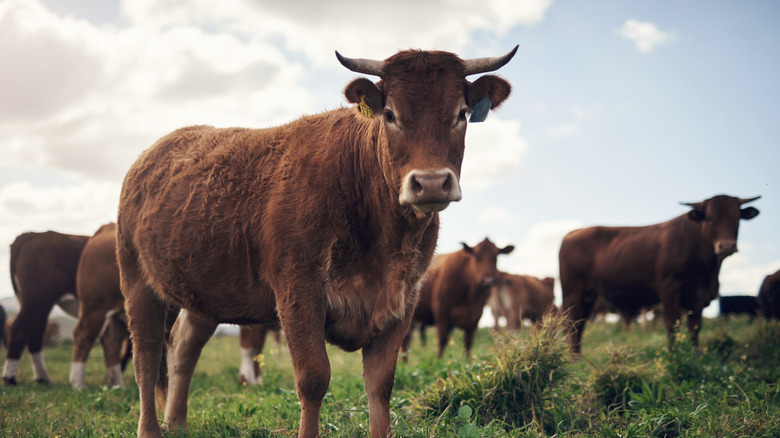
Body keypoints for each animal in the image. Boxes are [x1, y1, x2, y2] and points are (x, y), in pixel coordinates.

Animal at [3, 231, 89, 385]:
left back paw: (42, 378)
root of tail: (34, 234)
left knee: (34, 332)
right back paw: (10, 378)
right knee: (20, 329)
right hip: (37, 300)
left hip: (39, 306)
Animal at [116, 47, 517, 438]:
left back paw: (177, 422)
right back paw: (150, 429)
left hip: (205, 293)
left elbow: (380, 383)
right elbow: (313, 378)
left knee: (184, 347)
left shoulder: (403, 298)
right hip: (137, 282)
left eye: (461, 114)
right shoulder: (298, 291)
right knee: (146, 355)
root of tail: (151, 154)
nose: (431, 182)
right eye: (390, 114)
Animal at [559, 194, 760, 354]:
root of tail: (572, 233)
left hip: (588, 297)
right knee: (572, 325)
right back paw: (574, 359)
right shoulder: (669, 288)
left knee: (580, 325)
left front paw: (696, 355)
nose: (726, 246)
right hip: (573, 294)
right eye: (709, 219)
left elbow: (695, 326)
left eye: (737, 218)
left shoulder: (698, 295)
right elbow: (672, 323)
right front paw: (673, 355)